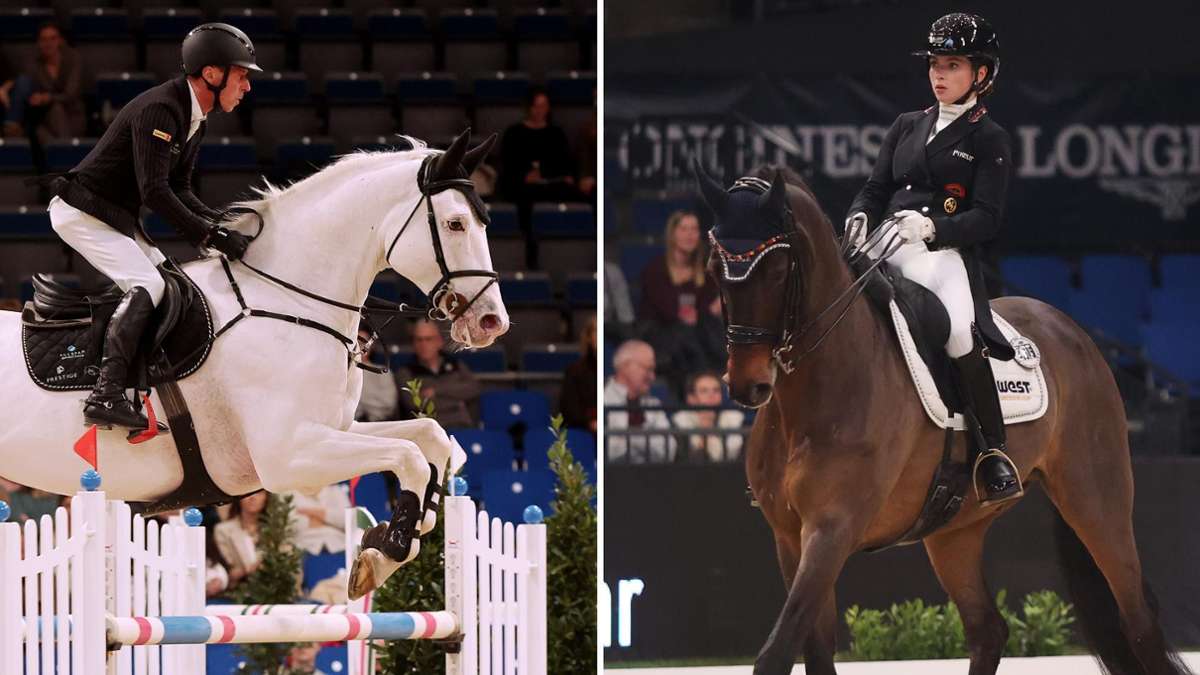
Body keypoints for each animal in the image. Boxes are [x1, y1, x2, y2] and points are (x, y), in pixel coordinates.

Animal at [0, 130, 510, 600]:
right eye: (456, 224)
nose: (492, 322)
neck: (288, 301)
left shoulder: (330, 428)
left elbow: (431, 439)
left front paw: (403, 533)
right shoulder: (288, 455)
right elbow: (409, 457)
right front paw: (389, 549)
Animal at [694, 163, 1192, 675]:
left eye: (776, 270)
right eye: (713, 270)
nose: (747, 385)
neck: (816, 391)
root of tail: (1068, 328)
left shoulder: (832, 529)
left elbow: (776, 652)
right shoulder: (790, 538)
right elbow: (813, 650)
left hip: (1097, 501)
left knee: (1138, 623)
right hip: (957, 530)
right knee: (987, 628)